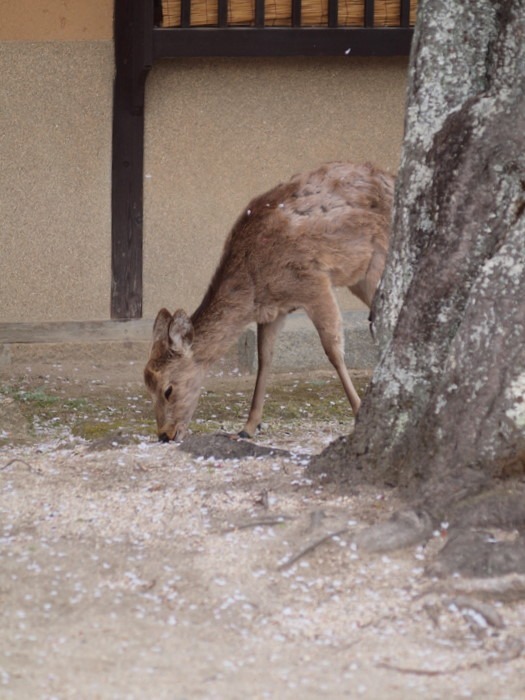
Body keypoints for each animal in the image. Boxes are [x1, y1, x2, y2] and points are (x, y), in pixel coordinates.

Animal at [143, 161, 392, 440]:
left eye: (168, 389)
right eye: (147, 387)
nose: (164, 434)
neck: (253, 285)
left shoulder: (313, 282)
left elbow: (333, 351)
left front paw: (359, 412)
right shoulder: (273, 310)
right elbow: (265, 359)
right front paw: (248, 428)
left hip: (378, 262)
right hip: (358, 277)